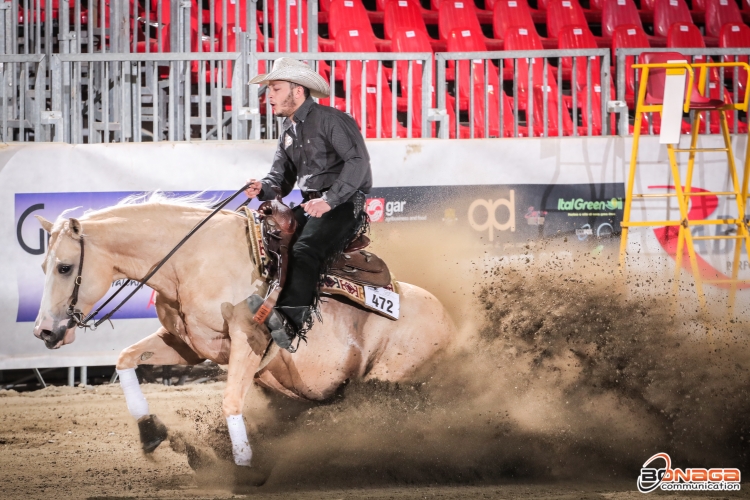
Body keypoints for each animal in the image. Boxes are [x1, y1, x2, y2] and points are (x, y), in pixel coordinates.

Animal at [32, 194, 456, 468]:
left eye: (65, 267)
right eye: (44, 267)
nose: (44, 332)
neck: (192, 261)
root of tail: (449, 320)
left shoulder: (249, 343)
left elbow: (231, 401)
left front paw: (244, 464)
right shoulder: (188, 345)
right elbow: (125, 359)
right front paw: (150, 432)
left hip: (388, 379)